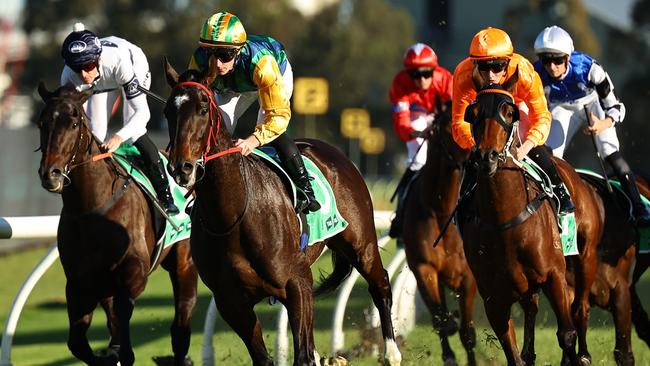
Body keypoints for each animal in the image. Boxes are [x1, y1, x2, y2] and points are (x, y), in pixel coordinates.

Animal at [35, 83, 196, 366]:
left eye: (74, 123)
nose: (50, 173)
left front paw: (122, 352)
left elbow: (123, 308)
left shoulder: (134, 268)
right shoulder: (79, 282)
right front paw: (110, 353)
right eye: (42, 123)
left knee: (180, 321)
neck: (92, 210)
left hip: (183, 261)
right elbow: (77, 342)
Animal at [159, 63, 398, 366]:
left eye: (203, 108)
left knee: (380, 285)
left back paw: (392, 352)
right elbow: (264, 358)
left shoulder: (297, 285)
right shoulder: (231, 303)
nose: (182, 167)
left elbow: (303, 355)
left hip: (361, 243)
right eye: (168, 110)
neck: (233, 216)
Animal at [394, 105, 476, 364]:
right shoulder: (424, 268)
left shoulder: (468, 276)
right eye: (449, 128)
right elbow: (441, 320)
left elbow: (468, 334)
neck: (441, 211)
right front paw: (449, 351)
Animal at [458, 76, 600, 364]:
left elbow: (566, 334)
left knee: (579, 307)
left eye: (509, 112)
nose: (486, 157)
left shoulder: (554, 275)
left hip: (585, 256)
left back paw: (583, 354)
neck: (504, 219)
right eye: (473, 113)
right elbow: (512, 352)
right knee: (532, 309)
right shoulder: (493, 297)